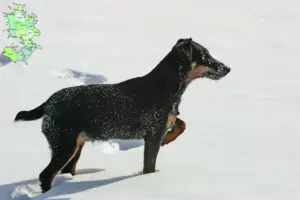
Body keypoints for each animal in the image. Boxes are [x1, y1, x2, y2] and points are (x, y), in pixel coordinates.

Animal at [14, 37, 231, 192]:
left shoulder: (165, 123)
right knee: (46, 175)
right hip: (64, 144)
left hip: (76, 144)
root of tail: (48, 103)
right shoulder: (152, 135)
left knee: (66, 170)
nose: (227, 68)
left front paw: (169, 138)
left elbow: (182, 123)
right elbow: (149, 166)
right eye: (204, 55)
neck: (168, 86)